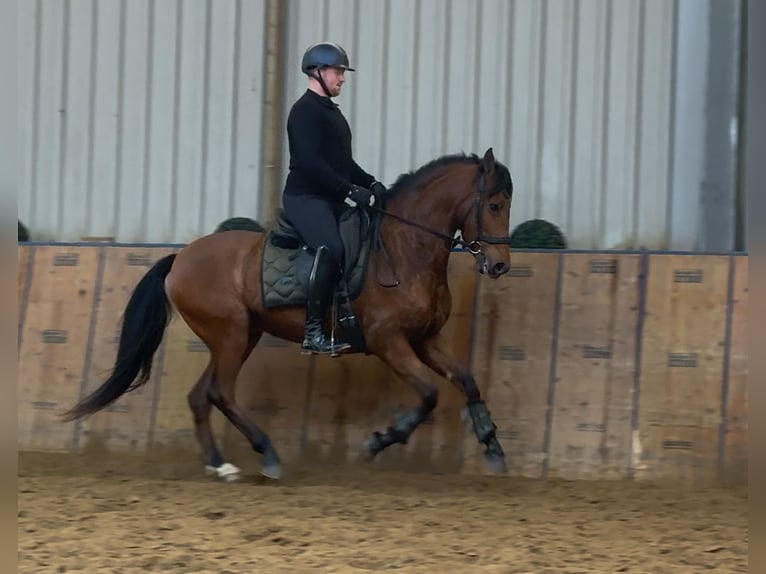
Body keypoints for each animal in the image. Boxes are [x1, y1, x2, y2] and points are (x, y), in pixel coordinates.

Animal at [62, 147, 514, 482]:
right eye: (493, 205)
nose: (499, 265)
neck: (405, 247)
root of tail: (180, 260)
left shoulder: (426, 339)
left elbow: (467, 381)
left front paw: (492, 444)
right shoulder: (389, 341)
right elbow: (429, 394)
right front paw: (380, 440)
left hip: (242, 336)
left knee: (201, 395)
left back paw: (220, 465)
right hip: (230, 334)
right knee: (221, 392)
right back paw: (267, 454)